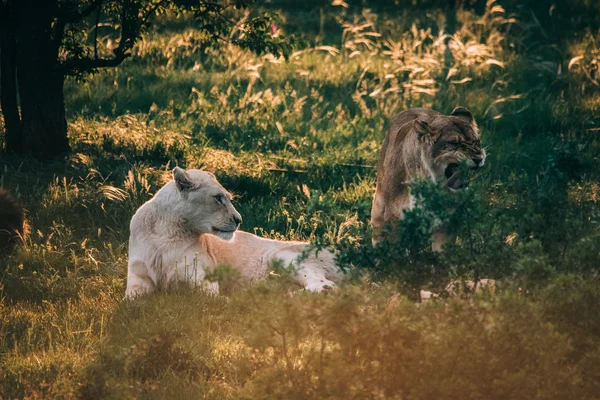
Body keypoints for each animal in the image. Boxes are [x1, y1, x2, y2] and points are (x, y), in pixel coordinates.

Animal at [125, 167, 342, 298]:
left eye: (227, 197)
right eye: (218, 198)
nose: (239, 220)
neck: (167, 230)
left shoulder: (202, 277)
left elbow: (204, 298)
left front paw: (226, 299)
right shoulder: (138, 278)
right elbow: (130, 301)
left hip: (282, 255)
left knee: (326, 286)